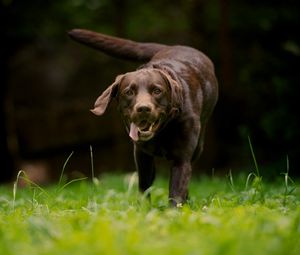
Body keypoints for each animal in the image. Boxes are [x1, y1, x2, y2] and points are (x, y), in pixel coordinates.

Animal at [68, 28, 218, 206]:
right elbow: (144, 187)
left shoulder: (182, 159)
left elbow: (176, 191)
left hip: (198, 145)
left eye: (157, 91)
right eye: (129, 92)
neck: (162, 132)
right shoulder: (141, 155)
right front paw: (144, 208)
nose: (143, 108)